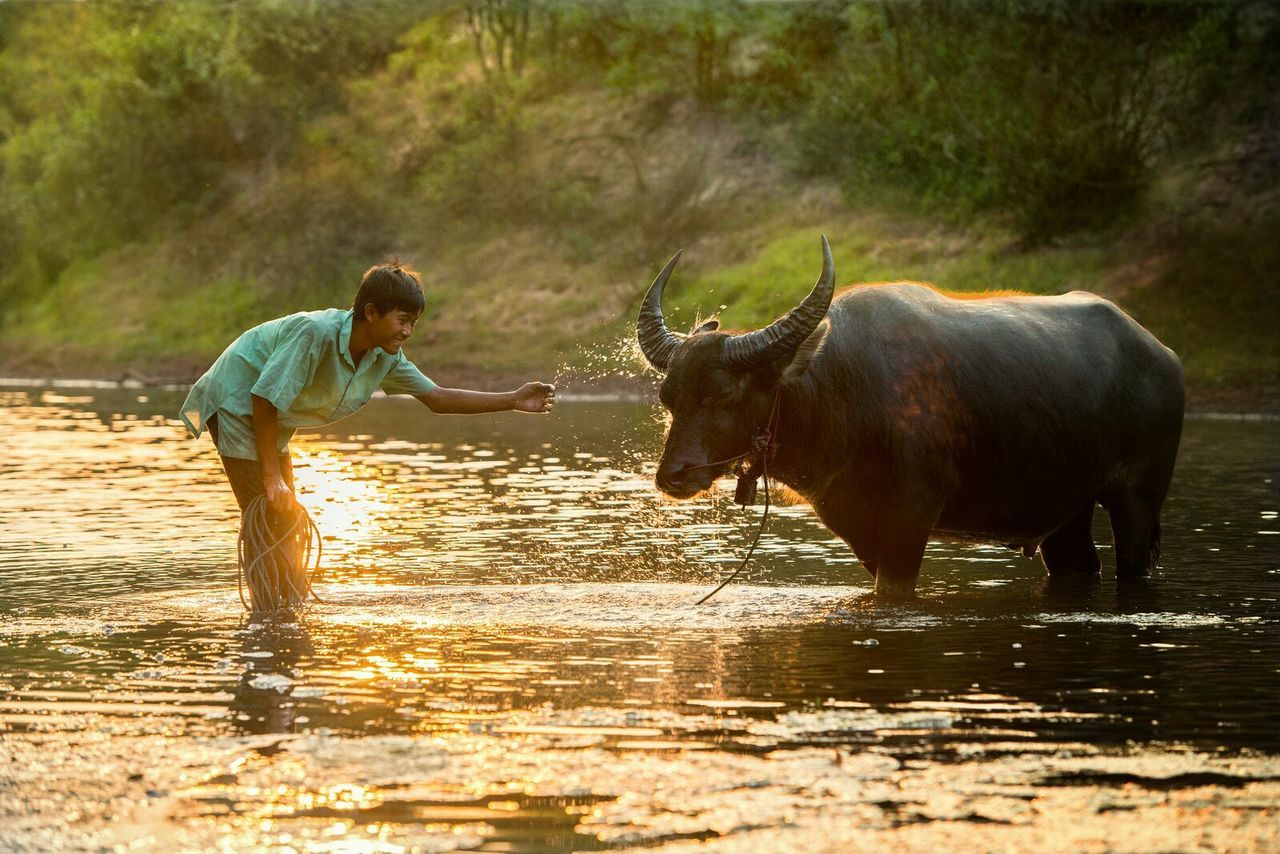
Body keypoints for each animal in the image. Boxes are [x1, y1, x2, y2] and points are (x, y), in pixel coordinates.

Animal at [634, 234, 1182, 594]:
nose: (673, 475)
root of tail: (1164, 355)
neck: (842, 393)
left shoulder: (911, 515)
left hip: (1138, 501)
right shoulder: (857, 528)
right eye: (668, 397)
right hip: (1068, 513)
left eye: (723, 393)